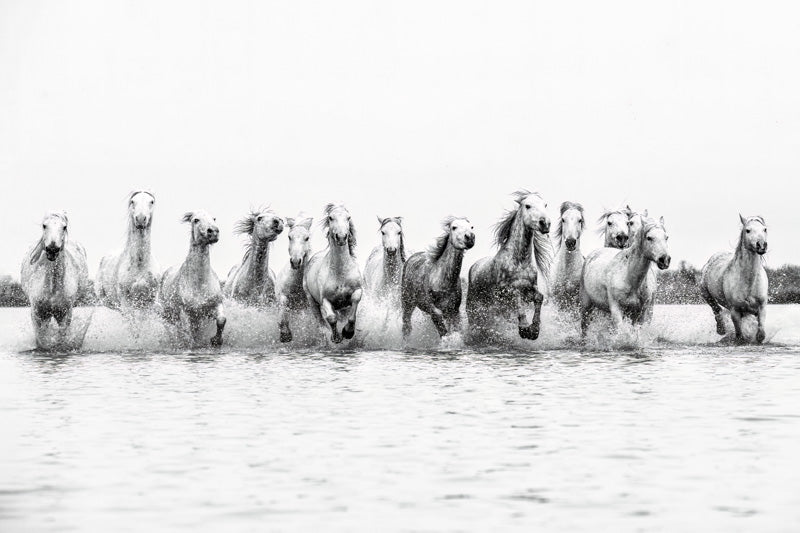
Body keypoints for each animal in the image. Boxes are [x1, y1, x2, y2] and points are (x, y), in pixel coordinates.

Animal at [20, 212, 89, 348]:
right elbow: (41, 339)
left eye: (64, 227)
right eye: (44, 225)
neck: (52, 289)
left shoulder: (65, 315)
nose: (52, 249)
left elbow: (61, 339)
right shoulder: (37, 314)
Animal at [158, 210, 226, 346]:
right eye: (196, 220)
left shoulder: (215, 304)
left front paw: (216, 340)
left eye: (214, 218)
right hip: (168, 314)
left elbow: (221, 319)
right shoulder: (185, 312)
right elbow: (187, 332)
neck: (200, 283)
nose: (213, 231)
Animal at [303, 204, 363, 343]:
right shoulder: (325, 299)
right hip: (311, 300)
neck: (340, 272)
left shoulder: (357, 291)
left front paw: (348, 332)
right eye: (331, 217)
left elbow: (352, 313)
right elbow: (331, 318)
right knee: (321, 321)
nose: (341, 237)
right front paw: (336, 337)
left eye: (348, 217)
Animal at [467, 191, 552, 340]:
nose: (545, 223)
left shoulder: (531, 288)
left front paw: (534, 330)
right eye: (527, 206)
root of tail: (474, 267)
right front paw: (524, 328)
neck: (520, 262)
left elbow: (539, 298)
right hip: (475, 308)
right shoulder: (505, 291)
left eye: (545, 205)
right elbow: (516, 297)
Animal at [699, 215, 768, 344]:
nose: (761, 245)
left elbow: (761, 333)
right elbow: (739, 335)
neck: (749, 281)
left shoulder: (761, 307)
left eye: (764, 229)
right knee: (716, 309)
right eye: (748, 230)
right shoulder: (735, 310)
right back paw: (721, 329)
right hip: (706, 294)